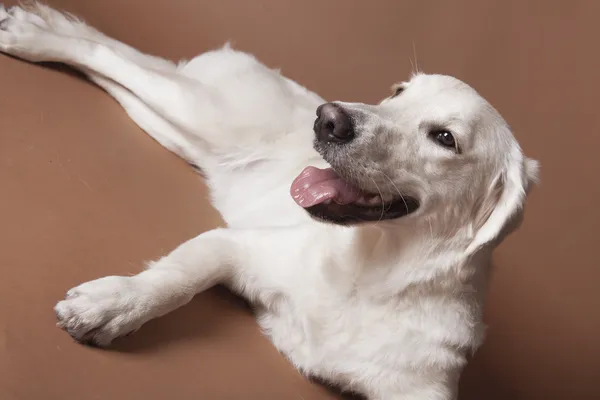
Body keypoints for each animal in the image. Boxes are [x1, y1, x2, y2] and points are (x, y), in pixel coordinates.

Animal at [0, 3, 540, 400]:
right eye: (398, 92)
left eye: (445, 137)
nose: (329, 119)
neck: (370, 276)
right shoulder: (236, 247)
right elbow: (173, 281)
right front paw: (113, 305)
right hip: (199, 113)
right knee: (104, 54)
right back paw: (31, 35)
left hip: (180, 126)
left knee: (124, 65)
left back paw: (39, 25)